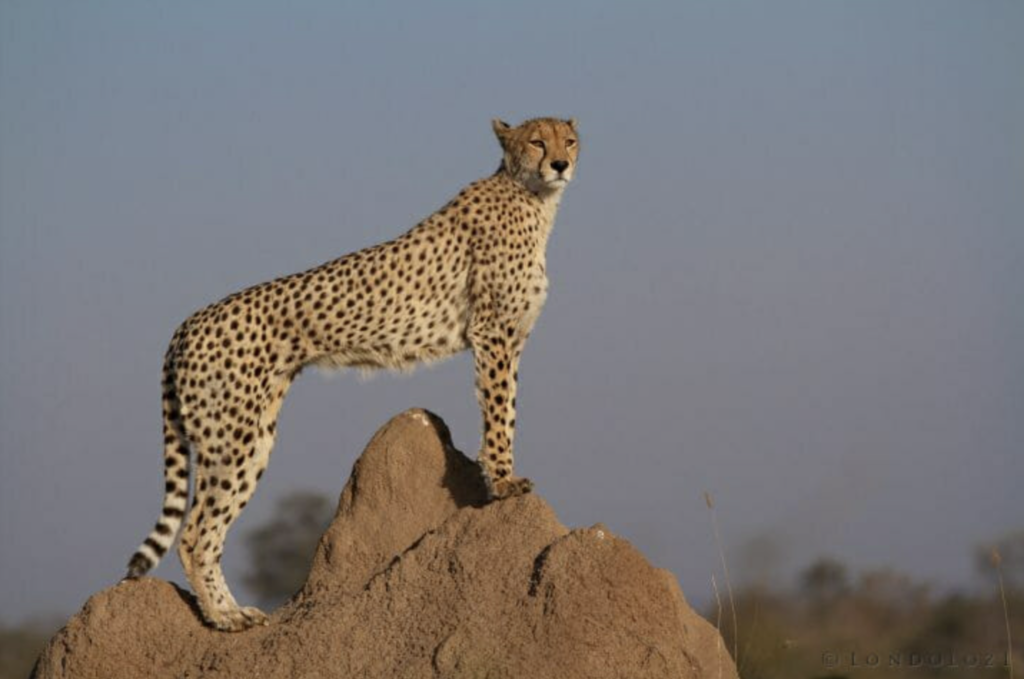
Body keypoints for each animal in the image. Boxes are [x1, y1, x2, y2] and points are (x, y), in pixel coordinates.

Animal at [123, 116, 581, 630]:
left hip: (251, 437)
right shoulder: (493, 335)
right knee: (194, 533)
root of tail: (190, 319)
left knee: (208, 528)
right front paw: (503, 482)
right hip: (230, 436)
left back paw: (233, 610)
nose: (559, 164)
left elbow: (507, 408)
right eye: (536, 141)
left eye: (569, 141)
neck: (532, 197)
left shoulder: (507, 338)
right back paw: (223, 618)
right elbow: (501, 413)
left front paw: (500, 479)